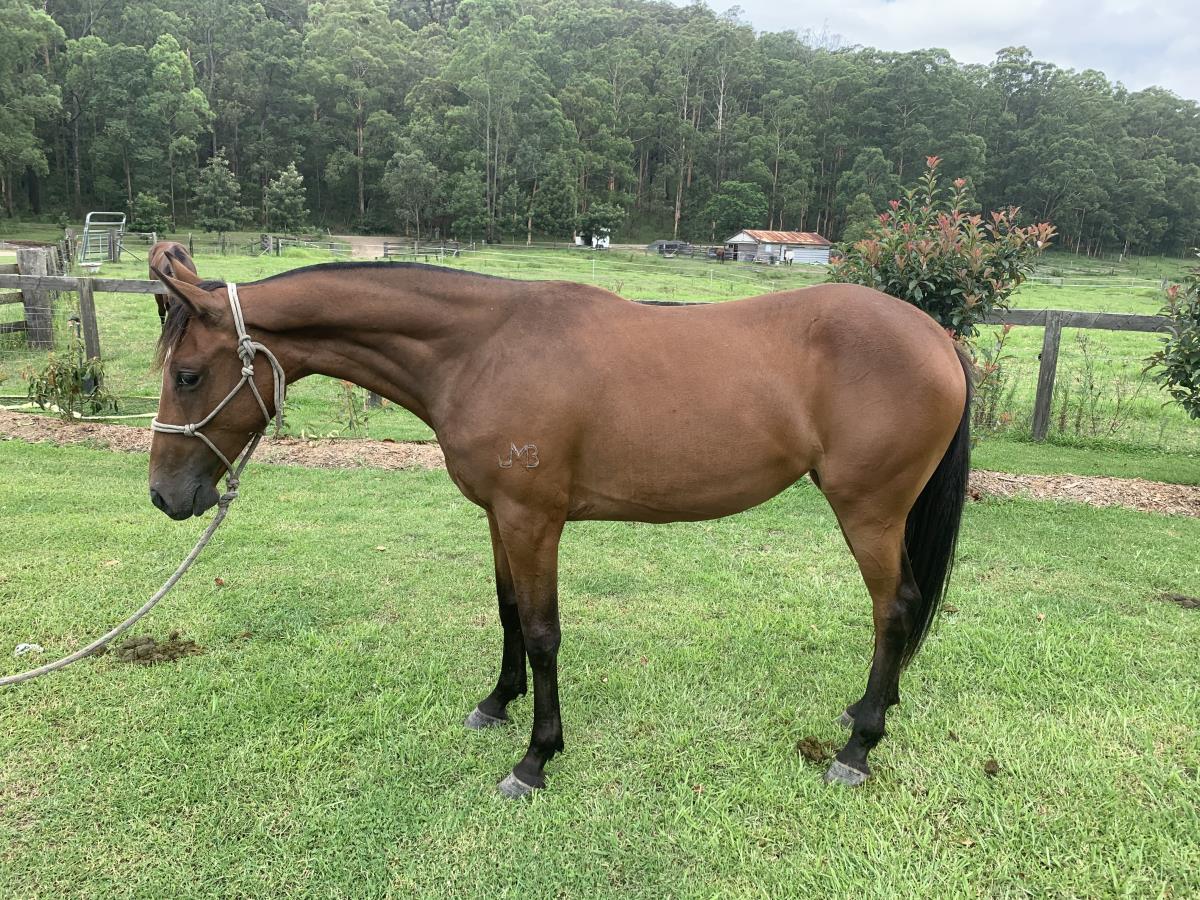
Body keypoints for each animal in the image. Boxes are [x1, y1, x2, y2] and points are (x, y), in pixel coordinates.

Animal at [147, 262, 972, 797]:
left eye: (188, 374)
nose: (164, 495)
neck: (483, 349)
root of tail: (935, 337)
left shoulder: (533, 519)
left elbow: (544, 633)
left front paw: (535, 759)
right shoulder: (499, 517)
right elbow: (509, 612)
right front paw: (496, 702)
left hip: (868, 511)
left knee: (894, 608)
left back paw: (858, 747)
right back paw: (870, 709)